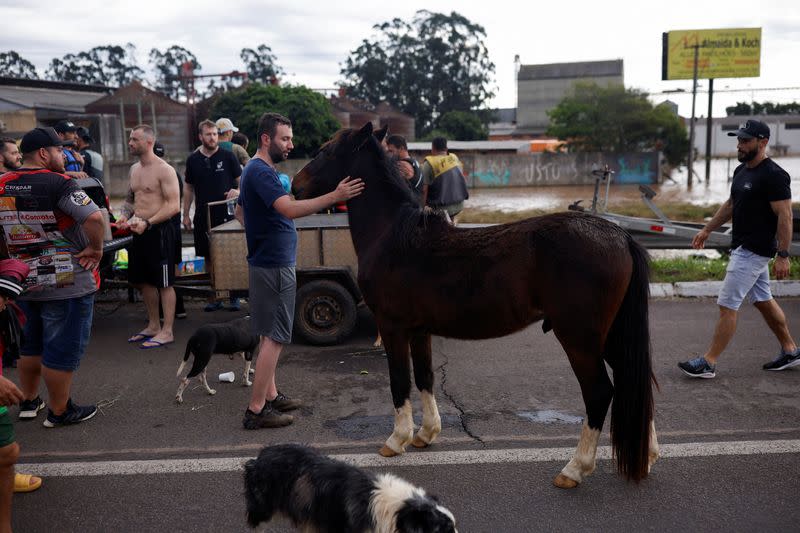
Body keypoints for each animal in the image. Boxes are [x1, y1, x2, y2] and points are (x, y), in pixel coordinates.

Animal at [290, 123, 660, 486]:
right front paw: (426, 434)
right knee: (631, 378)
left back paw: (574, 468)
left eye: (325, 150)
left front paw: (397, 440)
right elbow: (424, 377)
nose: (295, 186)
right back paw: (648, 455)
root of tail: (620, 236)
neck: (392, 236)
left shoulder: (393, 328)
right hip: (609, 335)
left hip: (579, 339)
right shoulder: (419, 331)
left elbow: (399, 382)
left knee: (599, 392)